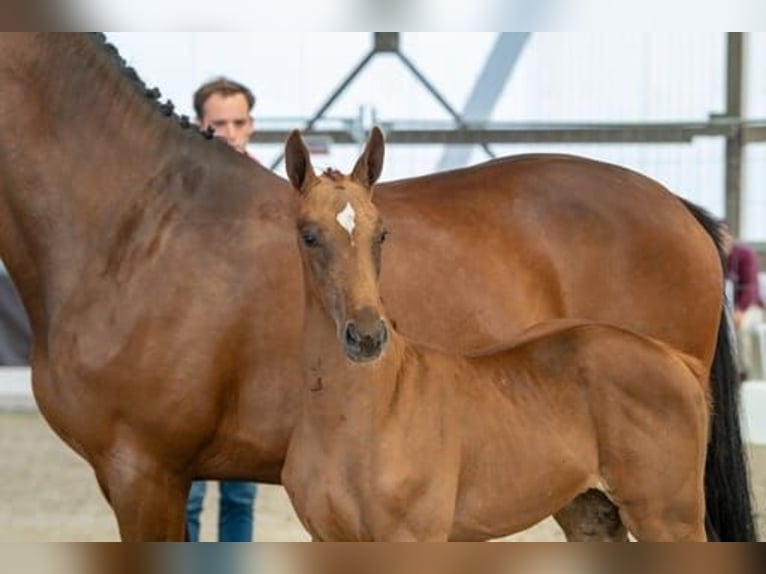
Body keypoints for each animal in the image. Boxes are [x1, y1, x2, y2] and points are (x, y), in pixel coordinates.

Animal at [284, 128, 712, 544]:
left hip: (670, 520)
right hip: (594, 509)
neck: (360, 414)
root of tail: (672, 357)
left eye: (382, 234)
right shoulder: (325, 537)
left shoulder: (414, 536)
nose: (368, 336)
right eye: (308, 235)